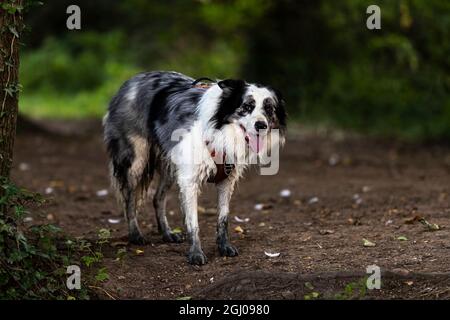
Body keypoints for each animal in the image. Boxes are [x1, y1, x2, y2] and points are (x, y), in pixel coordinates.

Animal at [103, 70, 284, 264]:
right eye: (247, 106)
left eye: (269, 109)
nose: (261, 125)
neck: (220, 130)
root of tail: (131, 81)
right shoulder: (189, 181)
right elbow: (193, 221)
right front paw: (196, 253)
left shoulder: (226, 181)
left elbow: (223, 218)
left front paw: (224, 247)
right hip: (137, 161)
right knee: (129, 199)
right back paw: (135, 234)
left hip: (170, 166)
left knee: (157, 198)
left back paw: (167, 233)